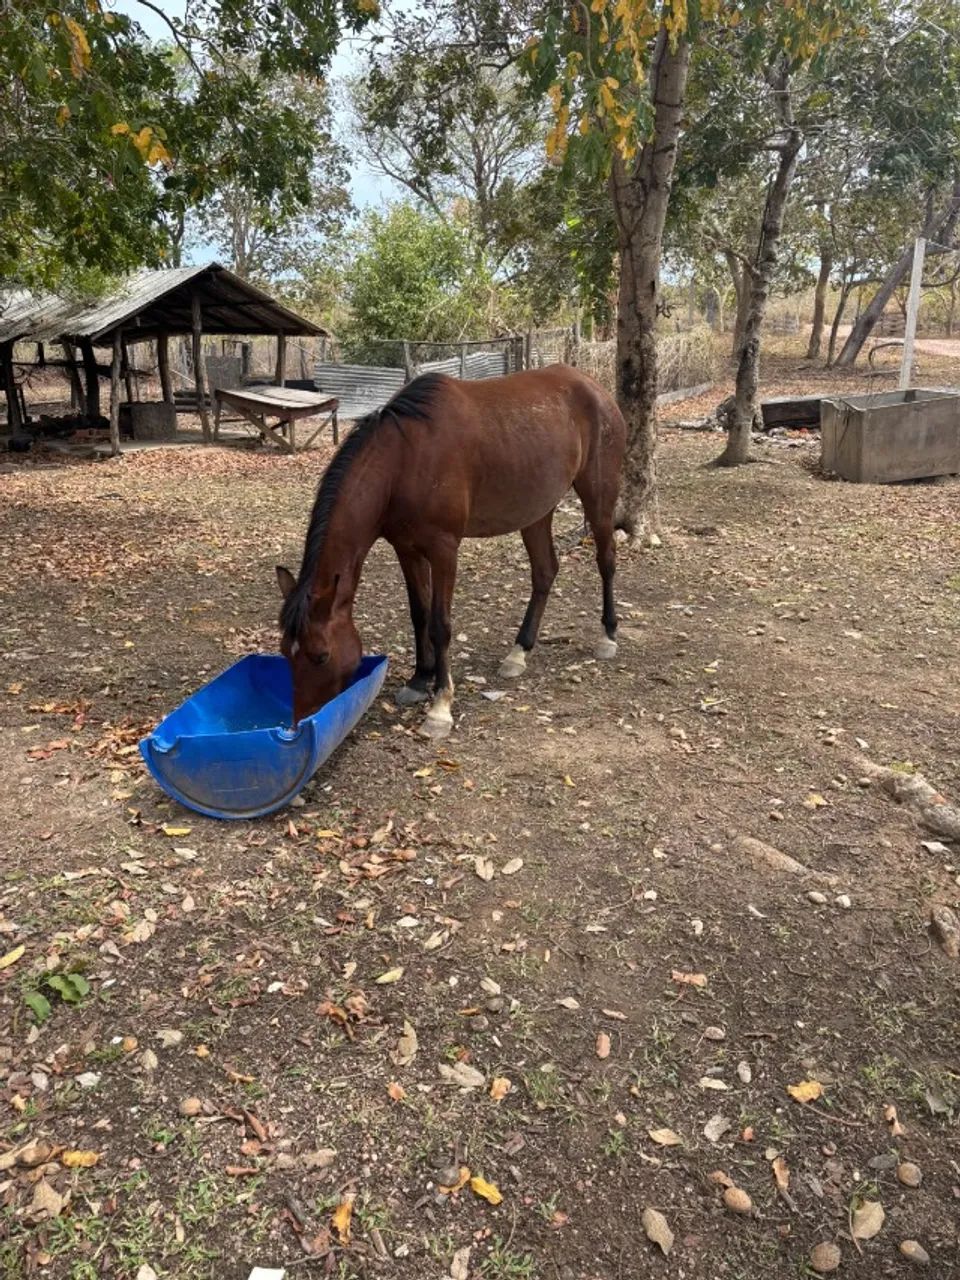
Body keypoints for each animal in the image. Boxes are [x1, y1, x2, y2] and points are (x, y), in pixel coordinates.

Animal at [276, 364, 626, 738]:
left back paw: (608, 635)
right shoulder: (407, 550)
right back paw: (518, 652)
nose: (299, 724)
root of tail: (594, 388)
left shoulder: (444, 550)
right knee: (545, 571)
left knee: (606, 560)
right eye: (286, 653)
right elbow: (420, 614)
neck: (404, 458)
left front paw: (440, 706)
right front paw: (419, 679)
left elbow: (440, 623)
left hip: (598, 497)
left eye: (321, 656)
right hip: (537, 512)